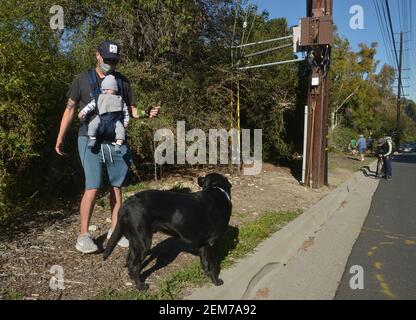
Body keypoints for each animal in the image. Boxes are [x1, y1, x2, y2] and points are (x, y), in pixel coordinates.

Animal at [102, 172, 232, 290]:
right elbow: (213, 265)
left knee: (129, 262)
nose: (199, 177)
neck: (219, 191)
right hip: (143, 242)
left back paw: (133, 279)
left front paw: (207, 276)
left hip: (135, 242)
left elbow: (205, 263)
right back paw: (140, 286)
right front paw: (216, 281)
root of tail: (128, 202)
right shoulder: (212, 243)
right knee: (134, 265)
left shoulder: (204, 245)